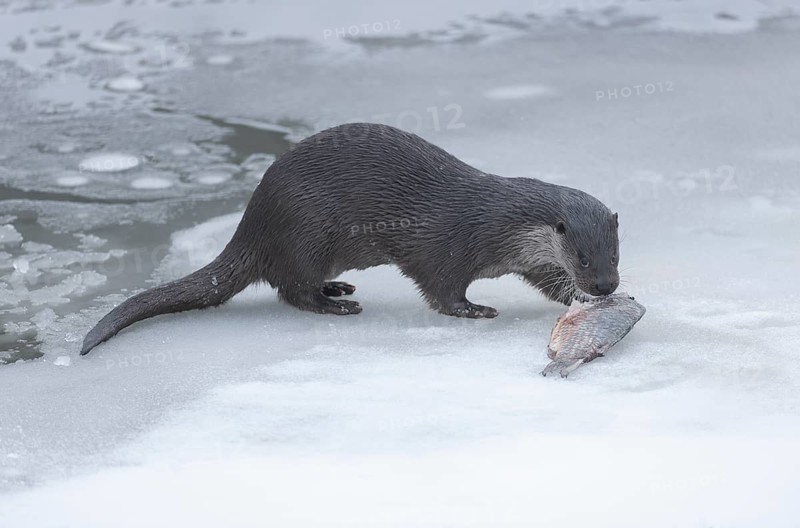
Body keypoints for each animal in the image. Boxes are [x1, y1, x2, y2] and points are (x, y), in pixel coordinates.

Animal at [81, 123, 620, 355]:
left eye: (614, 254)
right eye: (583, 256)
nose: (606, 286)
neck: (494, 221)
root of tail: (251, 223)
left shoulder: (532, 260)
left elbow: (545, 281)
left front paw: (583, 302)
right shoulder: (444, 247)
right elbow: (442, 292)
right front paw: (477, 310)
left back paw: (338, 289)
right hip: (307, 232)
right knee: (291, 289)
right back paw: (337, 304)